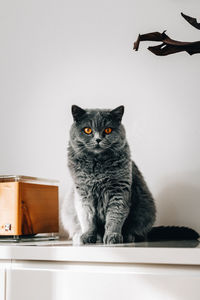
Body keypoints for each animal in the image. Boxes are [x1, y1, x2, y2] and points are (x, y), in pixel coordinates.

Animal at [61, 105, 199, 244]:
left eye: (108, 130)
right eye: (87, 130)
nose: (98, 139)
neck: (98, 166)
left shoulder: (119, 191)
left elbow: (115, 216)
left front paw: (113, 236)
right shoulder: (83, 193)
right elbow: (87, 218)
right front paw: (88, 236)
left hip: (146, 208)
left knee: (140, 233)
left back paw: (128, 236)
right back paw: (81, 236)